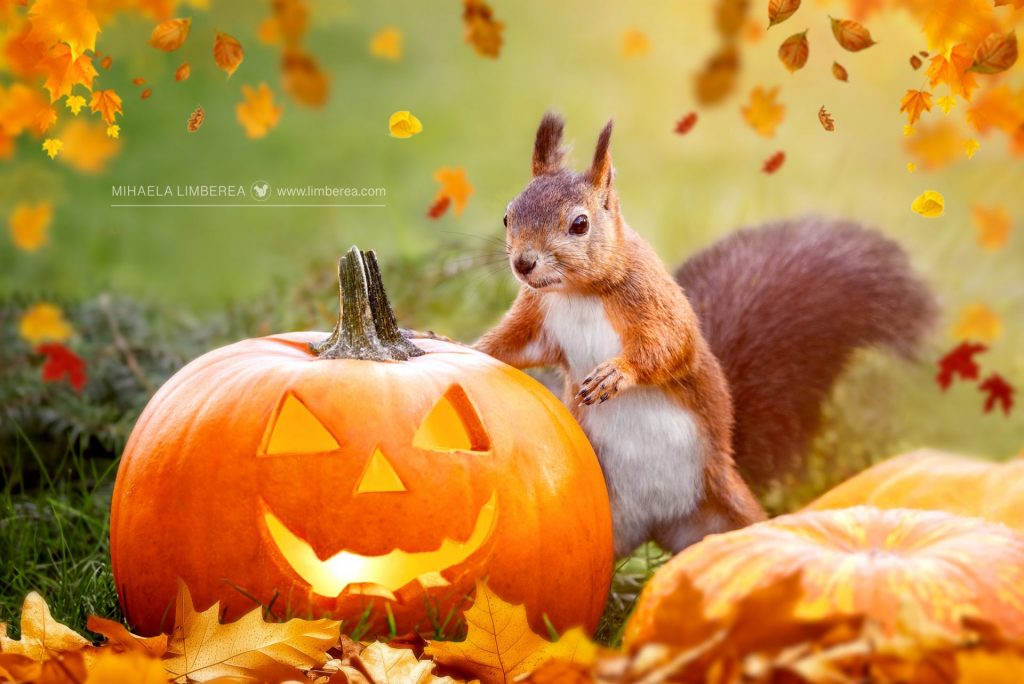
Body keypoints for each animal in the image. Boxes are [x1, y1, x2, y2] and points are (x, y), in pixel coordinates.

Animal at [471, 113, 937, 561]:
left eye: (580, 224)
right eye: (508, 216)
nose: (523, 263)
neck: (576, 294)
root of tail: (660, 524)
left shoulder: (654, 303)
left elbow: (671, 347)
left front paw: (616, 374)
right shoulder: (539, 316)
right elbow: (513, 346)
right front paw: (466, 348)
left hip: (730, 508)